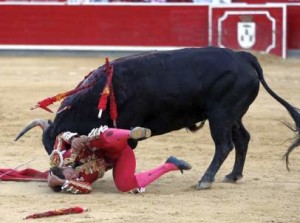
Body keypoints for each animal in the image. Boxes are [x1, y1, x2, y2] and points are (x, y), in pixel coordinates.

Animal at [15, 47, 300, 190]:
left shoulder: (128, 130)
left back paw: (205, 180)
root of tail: (243, 57)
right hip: (233, 115)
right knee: (242, 139)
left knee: (224, 145)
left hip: (221, 114)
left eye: (62, 146)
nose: (55, 174)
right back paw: (233, 175)